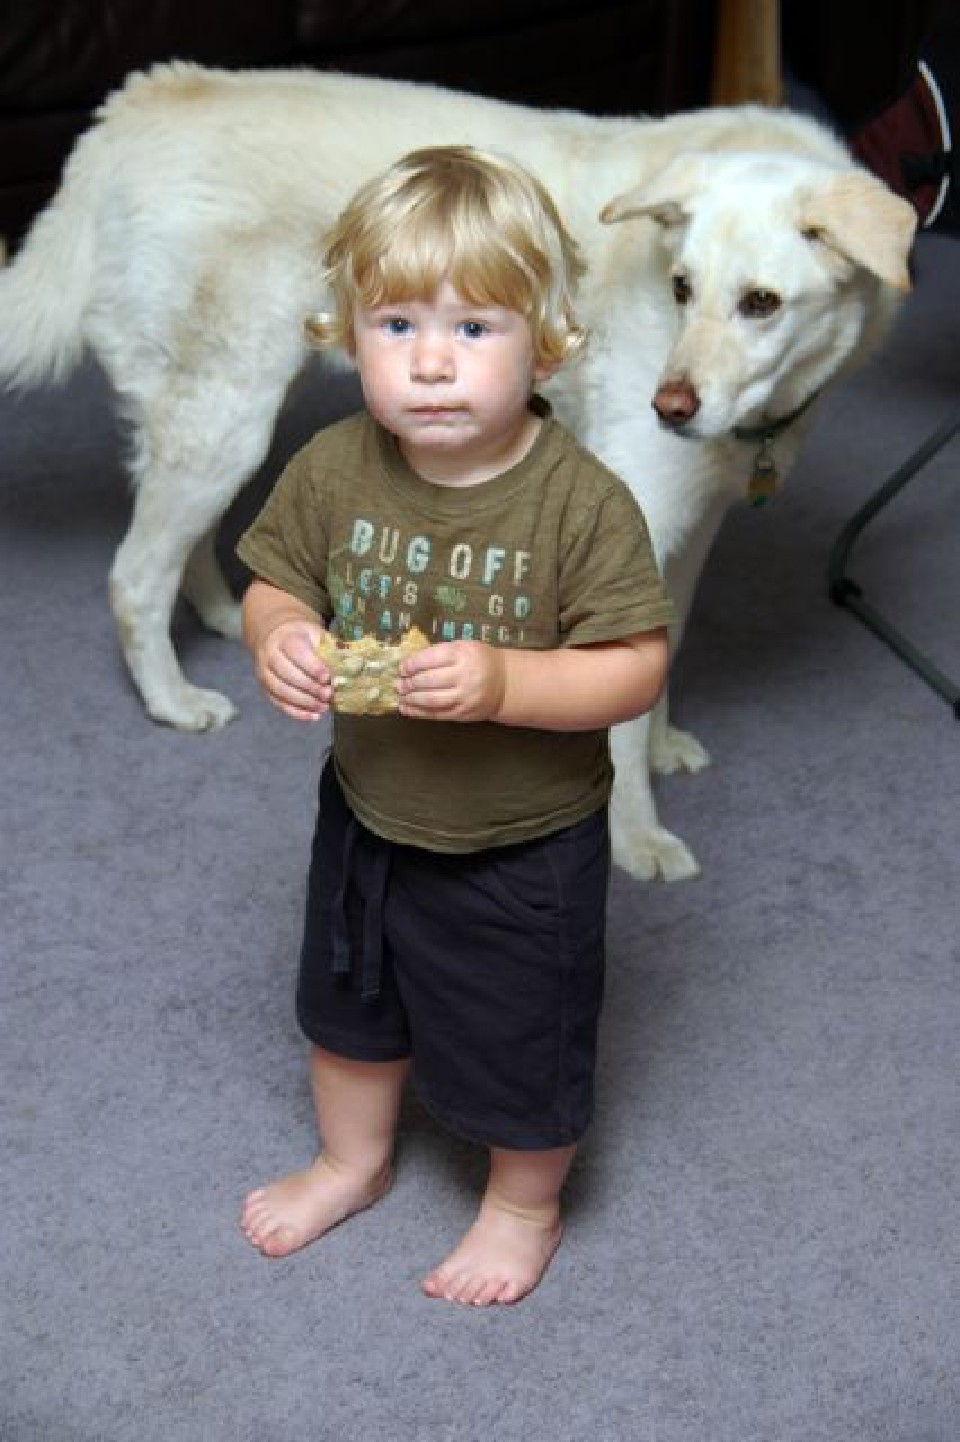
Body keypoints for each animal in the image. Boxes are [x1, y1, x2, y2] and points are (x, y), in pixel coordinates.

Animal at [0, 64, 916, 880]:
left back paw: (227, 612)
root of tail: (132, 107)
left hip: (232, 412)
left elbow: (663, 657)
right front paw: (637, 838)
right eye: (683, 288)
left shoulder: (692, 529)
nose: (671, 408)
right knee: (133, 576)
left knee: (179, 540)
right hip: (228, 413)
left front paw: (660, 747)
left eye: (761, 303)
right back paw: (173, 700)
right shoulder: (646, 513)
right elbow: (619, 715)